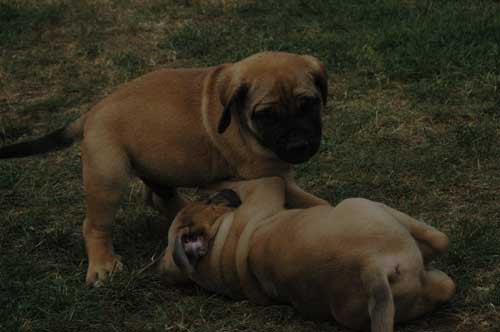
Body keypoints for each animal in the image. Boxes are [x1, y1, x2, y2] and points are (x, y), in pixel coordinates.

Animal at [0, 52, 332, 286]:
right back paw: (103, 264)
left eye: (309, 103)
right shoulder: (273, 175)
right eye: (266, 115)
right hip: (108, 177)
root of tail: (90, 114)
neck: (240, 122)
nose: (299, 145)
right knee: (94, 225)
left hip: (155, 166)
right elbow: (315, 202)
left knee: (159, 197)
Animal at [161, 179, 458, 332]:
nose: (225, 191)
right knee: (440, 241)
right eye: (208, 201)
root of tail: (369, 267)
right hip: (368, 206)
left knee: (444, 284)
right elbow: (274, 181)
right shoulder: (264, 193)